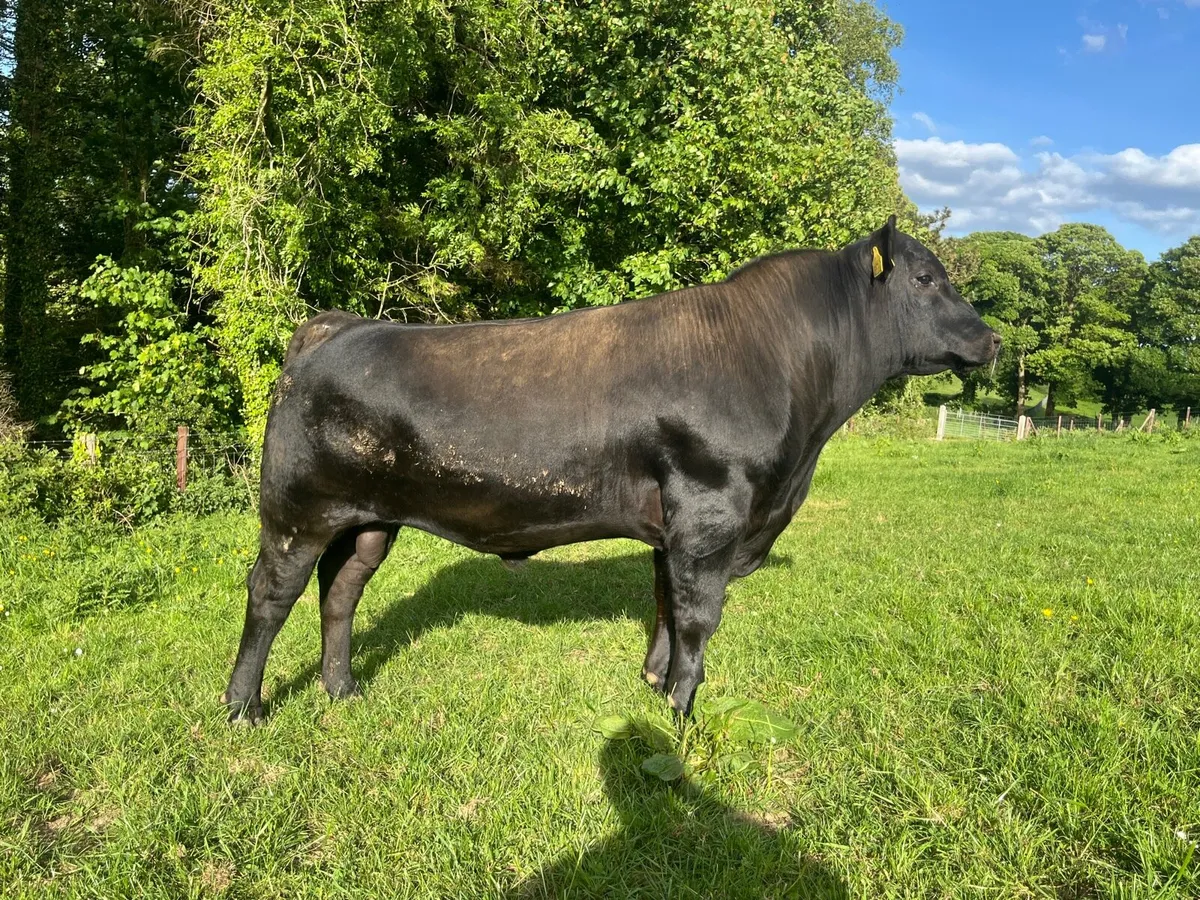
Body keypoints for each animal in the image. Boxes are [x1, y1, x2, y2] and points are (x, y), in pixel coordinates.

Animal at [222, 216, 1000, 725]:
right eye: (928, 279)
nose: (993, 339)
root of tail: (335, 324)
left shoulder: (676, 529)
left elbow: (664, 604)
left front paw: (655, 682)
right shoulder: (712, 514)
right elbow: (698, 616)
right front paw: (683, 711)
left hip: (369, 519)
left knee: (341, 592)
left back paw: (342, 690)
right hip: (297, 511)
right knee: (270, 596)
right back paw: (244, 707)